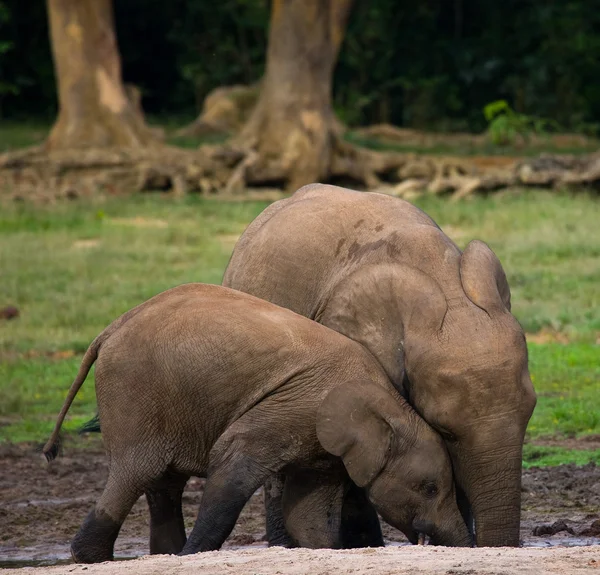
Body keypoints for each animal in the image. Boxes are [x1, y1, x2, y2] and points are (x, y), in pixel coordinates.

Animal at [44, 284, 472, 564]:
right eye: (430, 488)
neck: (391, 406)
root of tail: (110, 329)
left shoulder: (323, 443)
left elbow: (309, 513)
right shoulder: (292, 407)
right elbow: (232, 462)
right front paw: (193, 556)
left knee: (162, 483)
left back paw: (163, 554)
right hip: (134, 391)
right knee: (135, 472)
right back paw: (97, 557)